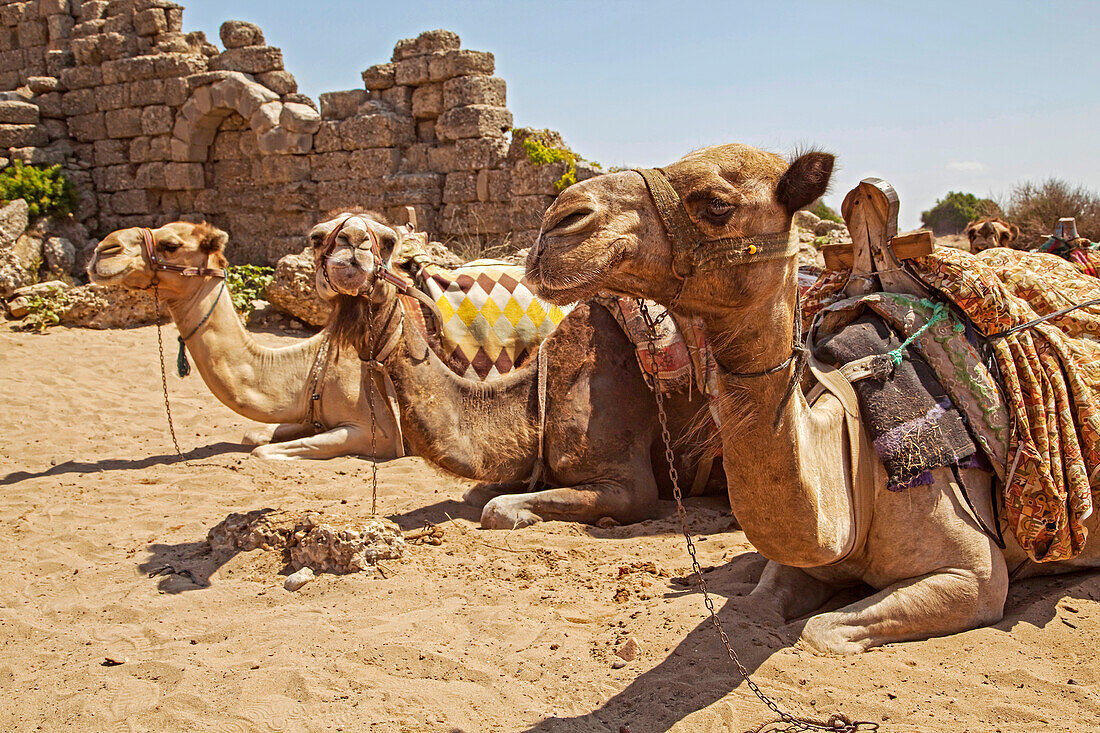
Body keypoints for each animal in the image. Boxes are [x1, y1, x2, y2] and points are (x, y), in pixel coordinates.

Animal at [85, 220, 404, 460]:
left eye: (171, 245)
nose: (104, 250)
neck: (312, 368)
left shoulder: (377, 433)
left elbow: (260, 452)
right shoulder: (309, 414)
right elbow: (252, 436)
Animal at [312, 211, 721, 526]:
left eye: (387, 241)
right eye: (316, 239)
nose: (352, 242)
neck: (545, 389)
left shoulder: (629, 484)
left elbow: (495, 510)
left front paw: (524, 515)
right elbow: (477, 493)